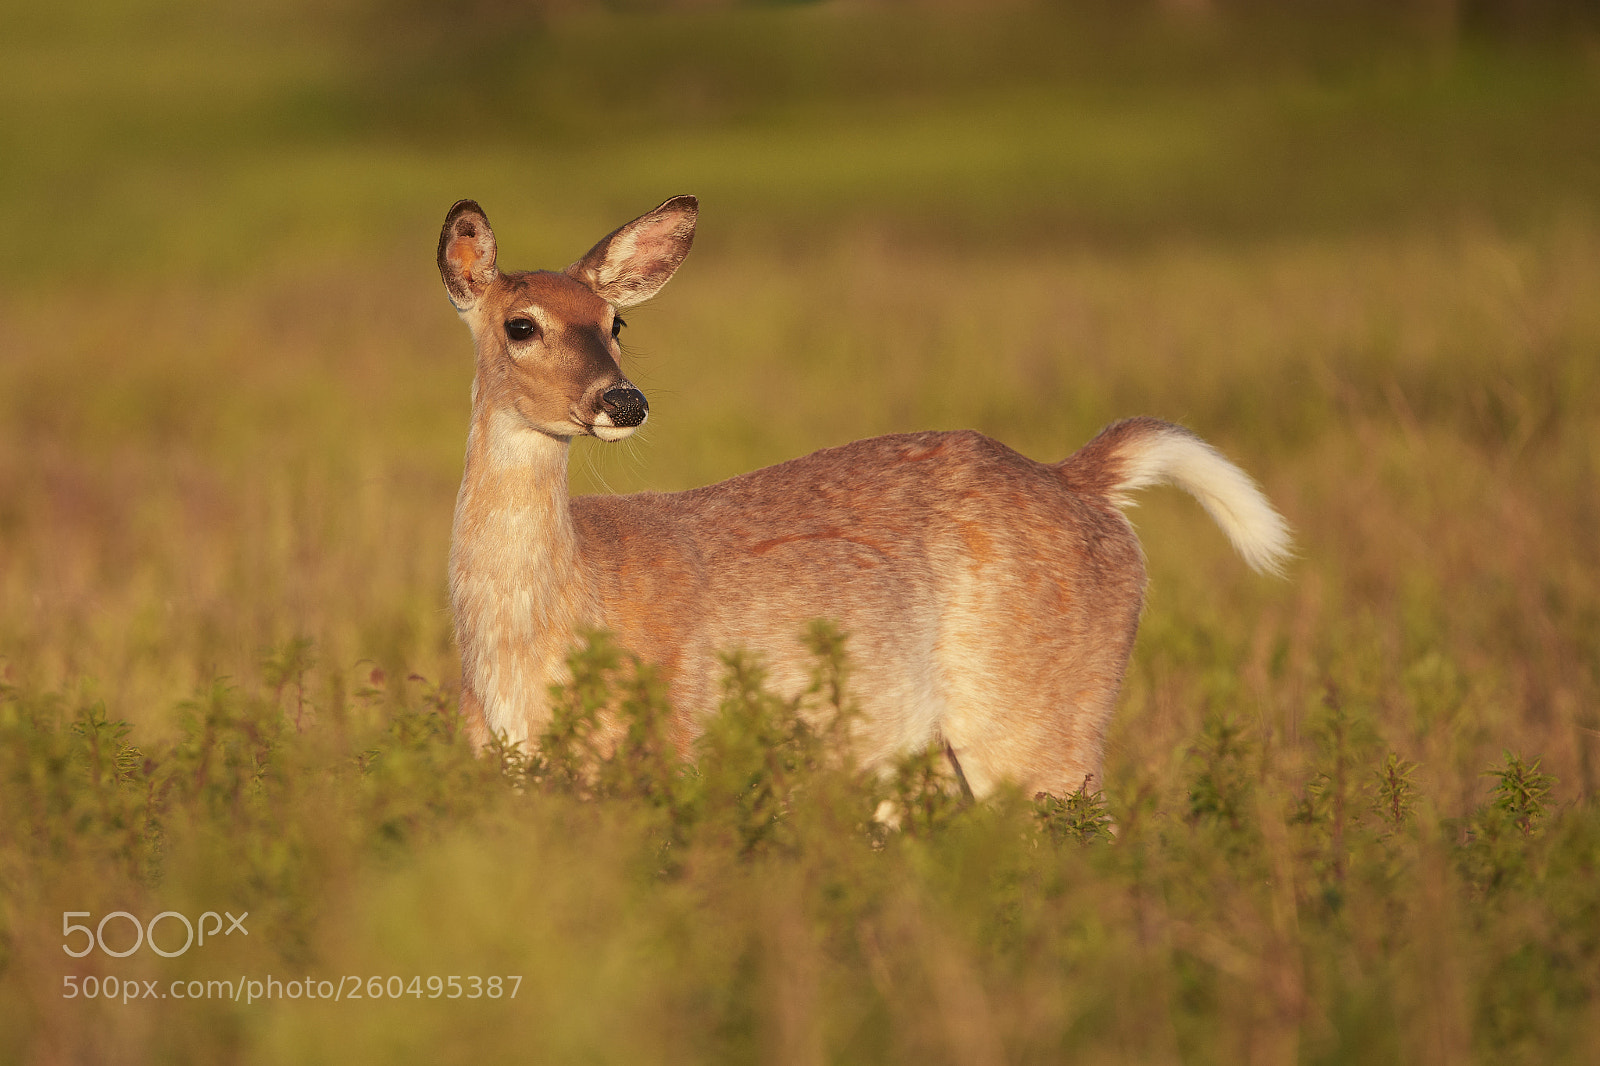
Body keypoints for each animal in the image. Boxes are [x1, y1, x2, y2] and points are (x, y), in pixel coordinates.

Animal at [437, 194, 1291, 801]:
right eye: (520, 325)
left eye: (617, 322)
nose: (623, 400)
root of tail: (1079, 478)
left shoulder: (674, 741)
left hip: (1043, 719)